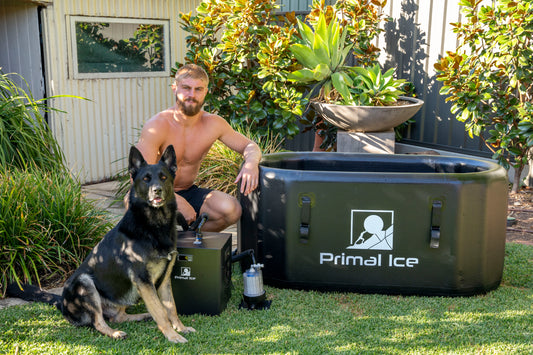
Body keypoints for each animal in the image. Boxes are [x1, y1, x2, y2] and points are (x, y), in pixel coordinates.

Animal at [7, 146, 194, 344]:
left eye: (163, 177)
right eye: (146, 179)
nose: (157, 190)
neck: (154, 226)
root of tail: (62, 303)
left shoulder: (164, 279)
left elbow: (171, 308)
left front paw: (180, 328)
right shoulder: (143, 280)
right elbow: (160, 311)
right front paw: (173, 335)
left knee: (118, 317)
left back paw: (143, 316)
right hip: (85, 283)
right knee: (98, 322)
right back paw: (114, 333)